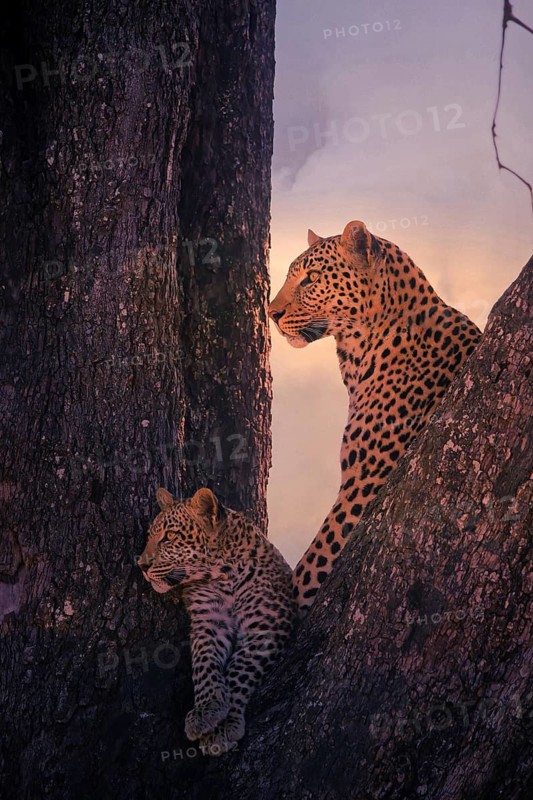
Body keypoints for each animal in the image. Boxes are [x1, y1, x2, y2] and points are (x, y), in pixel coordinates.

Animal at [138, 487, 296, 755]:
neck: (223, 575)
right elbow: (204, 664)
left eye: (169, 536)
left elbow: (240, 670)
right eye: (150, 536)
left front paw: (223, 727)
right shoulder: (209, 621)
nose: (141, 565)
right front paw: (206, 710)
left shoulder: (265, 627)